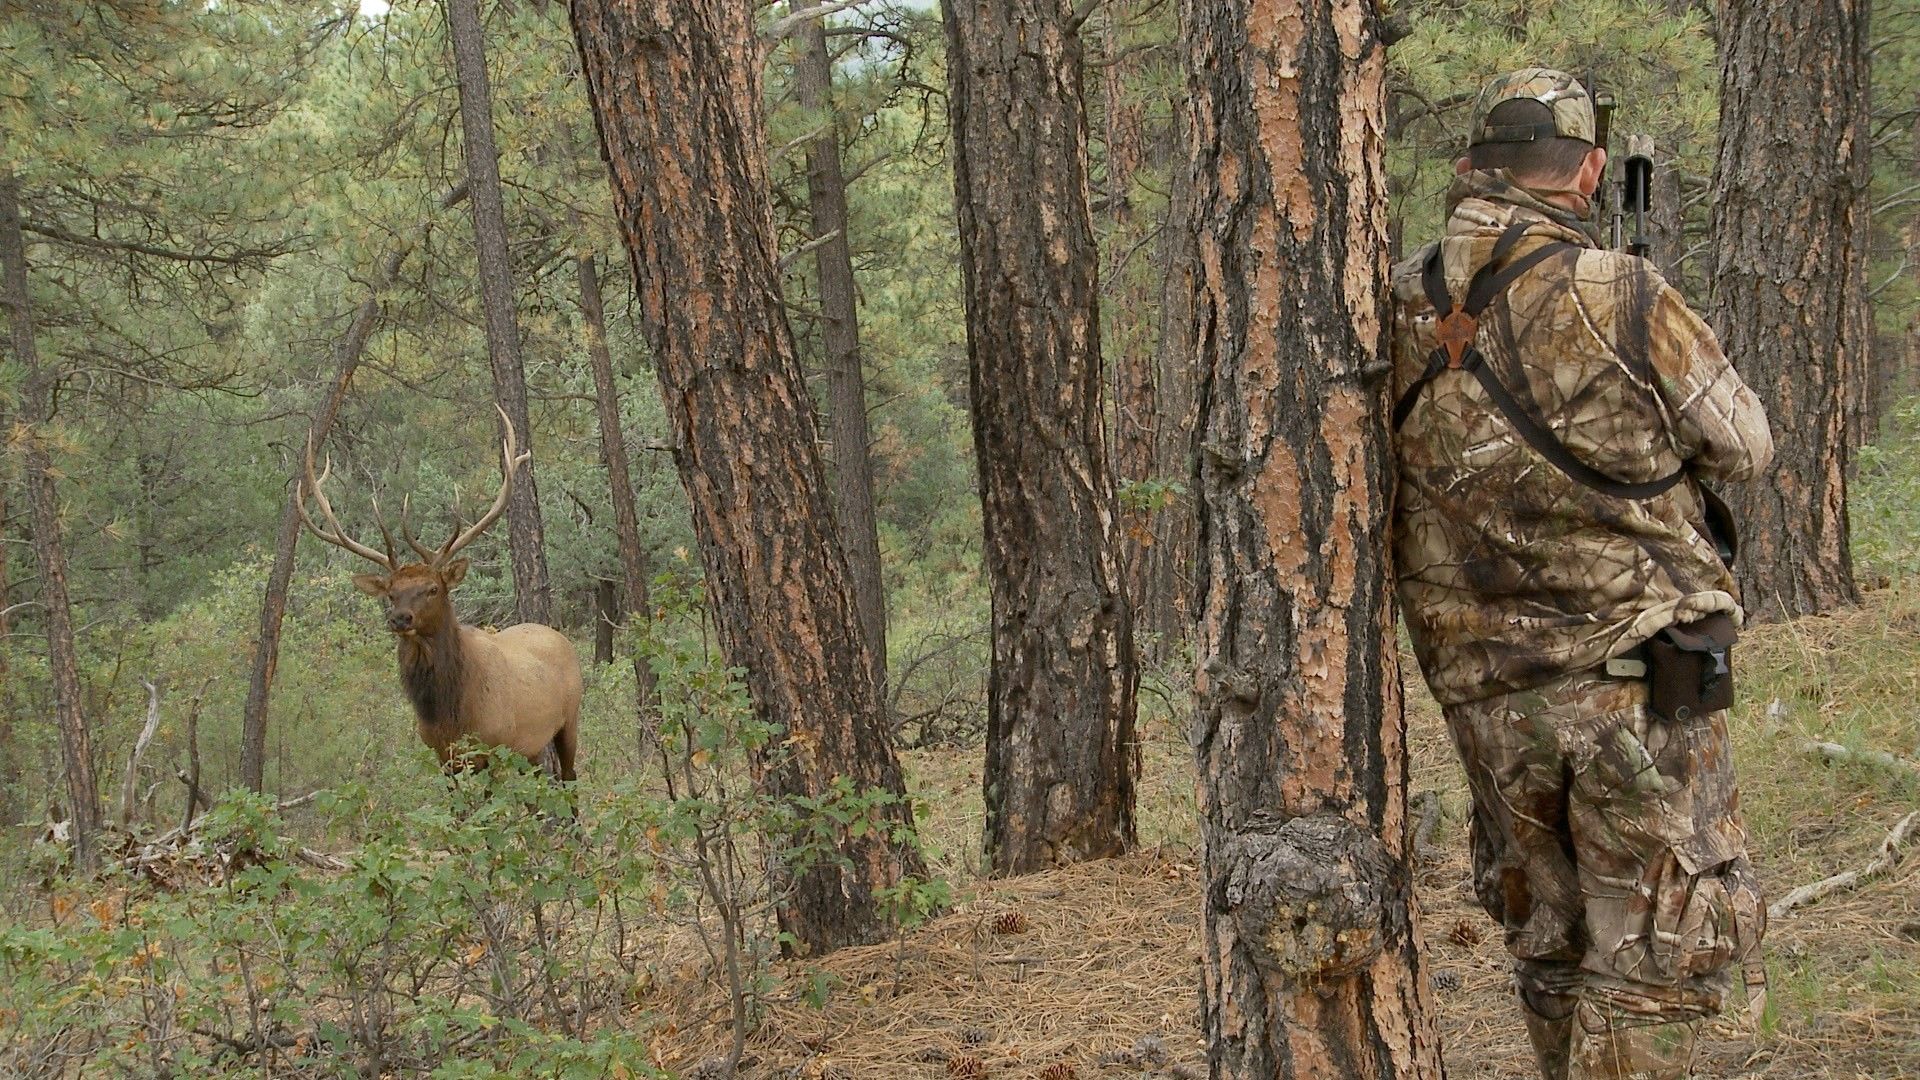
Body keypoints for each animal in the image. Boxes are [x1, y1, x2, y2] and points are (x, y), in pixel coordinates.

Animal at [297, 408, 583, 781]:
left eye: (433, 589)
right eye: (391, 593)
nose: (400, 619)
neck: (449, 713)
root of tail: (557, 636)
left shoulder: (496, 748)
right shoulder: (443, 757)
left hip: (570, 720)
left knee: (570, 781)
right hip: (532, 750)